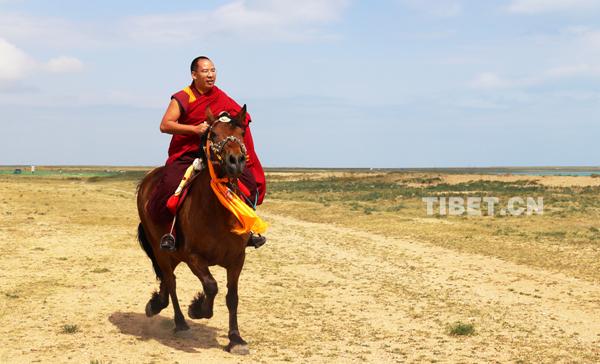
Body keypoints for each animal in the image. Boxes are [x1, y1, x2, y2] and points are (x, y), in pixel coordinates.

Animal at [138, 106, 253, 356]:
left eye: (241, 133)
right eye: (213, 135)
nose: (235, 161)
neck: (217, 214)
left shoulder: (237, 259)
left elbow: (232, 297)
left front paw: (236, 339)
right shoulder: (193, 257)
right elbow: (211, 286)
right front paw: (198, 309)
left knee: (167, 279)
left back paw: (157, 303)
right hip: (161, 250)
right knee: (171, 281)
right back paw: (180, 322)